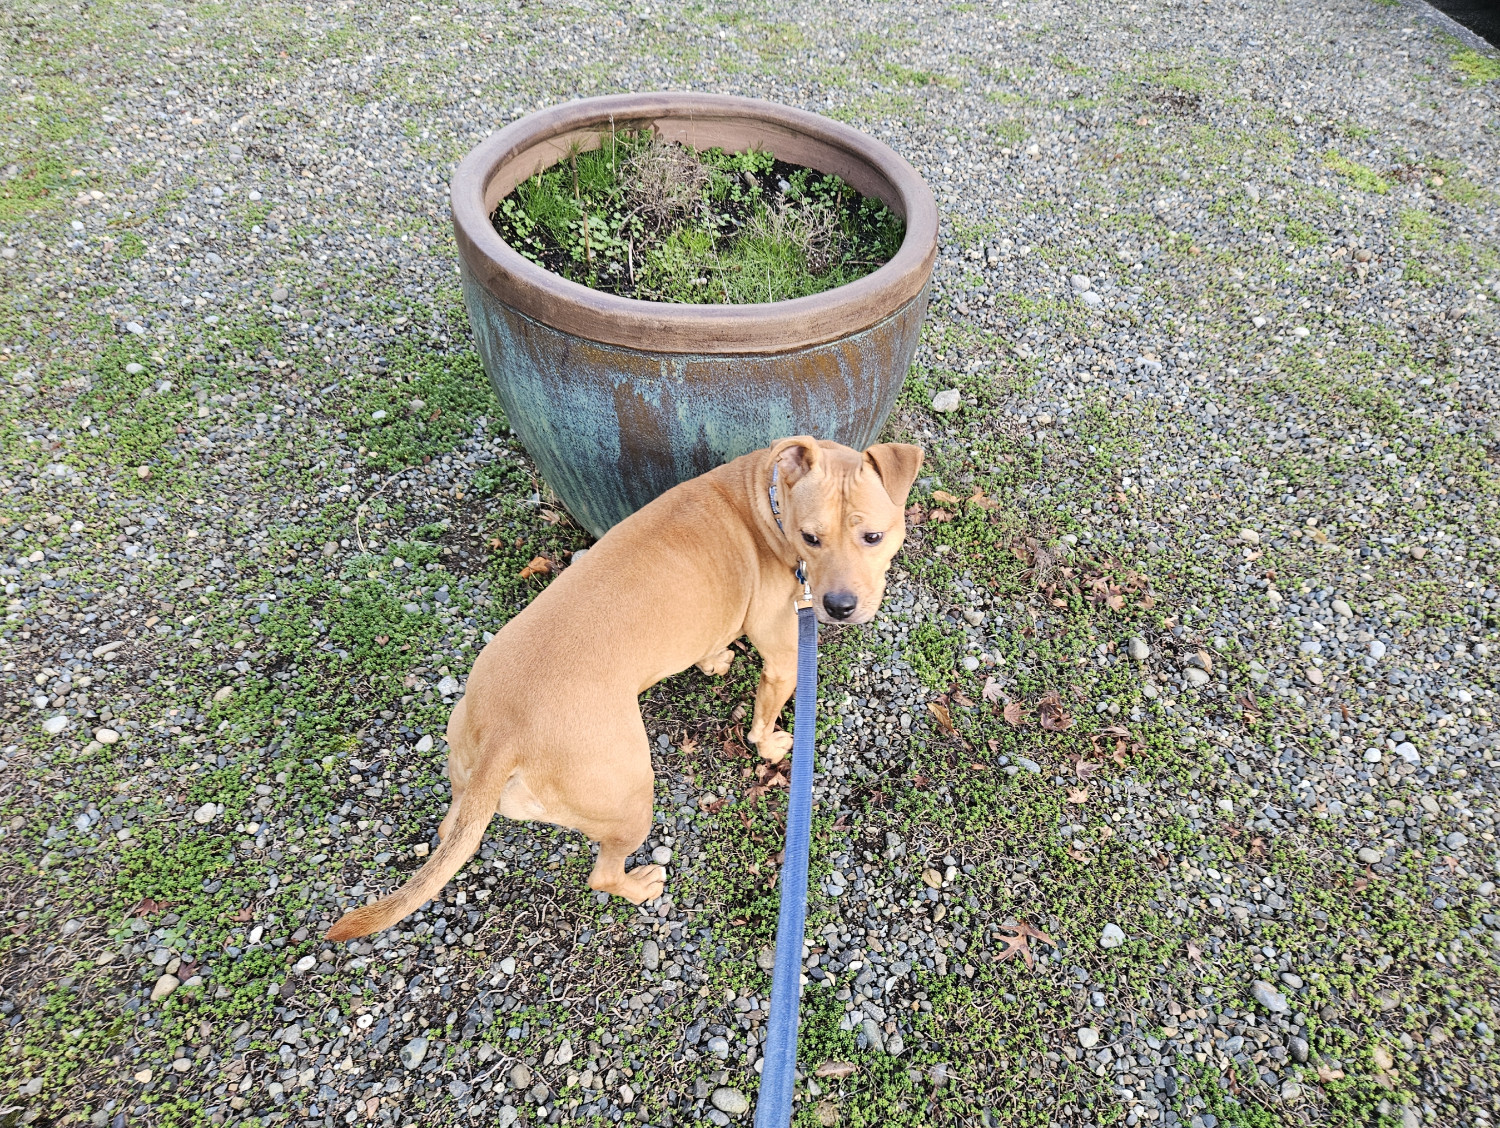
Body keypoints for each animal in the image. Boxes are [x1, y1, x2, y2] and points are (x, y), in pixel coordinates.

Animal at [322, 435, 918, 936]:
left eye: (872, 536)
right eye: (810, 538)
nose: (839, 606)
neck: (768, 500)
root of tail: (506, 736)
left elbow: (709, 644)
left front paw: (715, 661)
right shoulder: (783, 659)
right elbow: (764, 718)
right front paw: (770, 742)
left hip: (464, 756)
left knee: (452, 826)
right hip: (631, 793)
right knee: (602, 875)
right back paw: (640, 885)